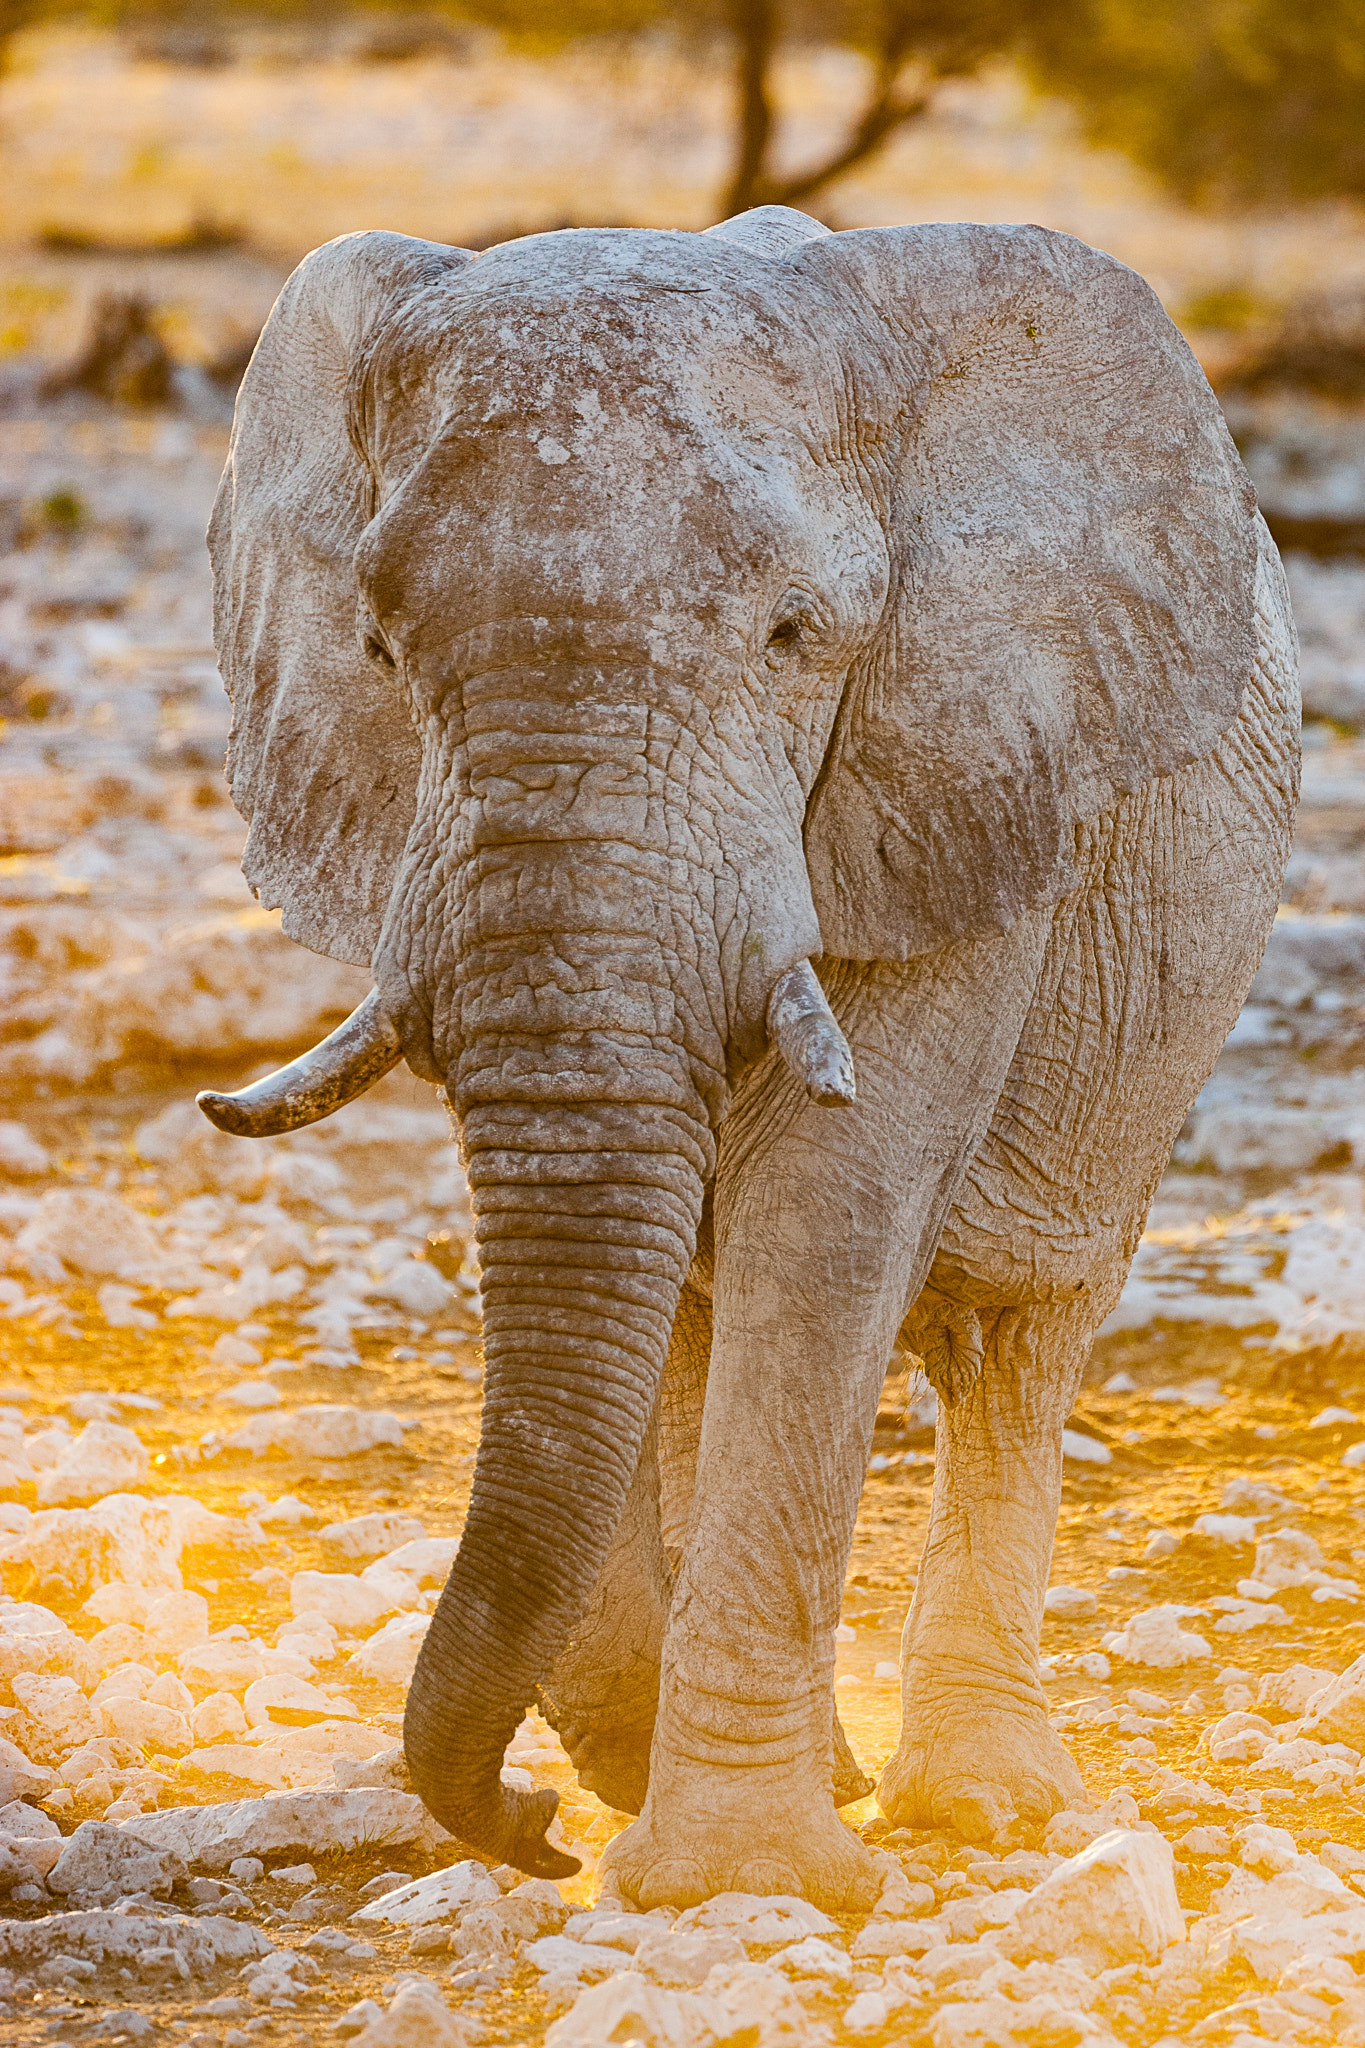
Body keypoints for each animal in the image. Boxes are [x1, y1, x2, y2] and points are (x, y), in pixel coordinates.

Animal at [199, 202, 1299, 1912]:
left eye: (795, 636)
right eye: (376, 644)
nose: (522, 1826)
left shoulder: (959, 764)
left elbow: (832, 1198)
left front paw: (733, 1883)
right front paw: (656, 1822)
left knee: (1021, 1330)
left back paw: (984, 1810)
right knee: (698, 1314)